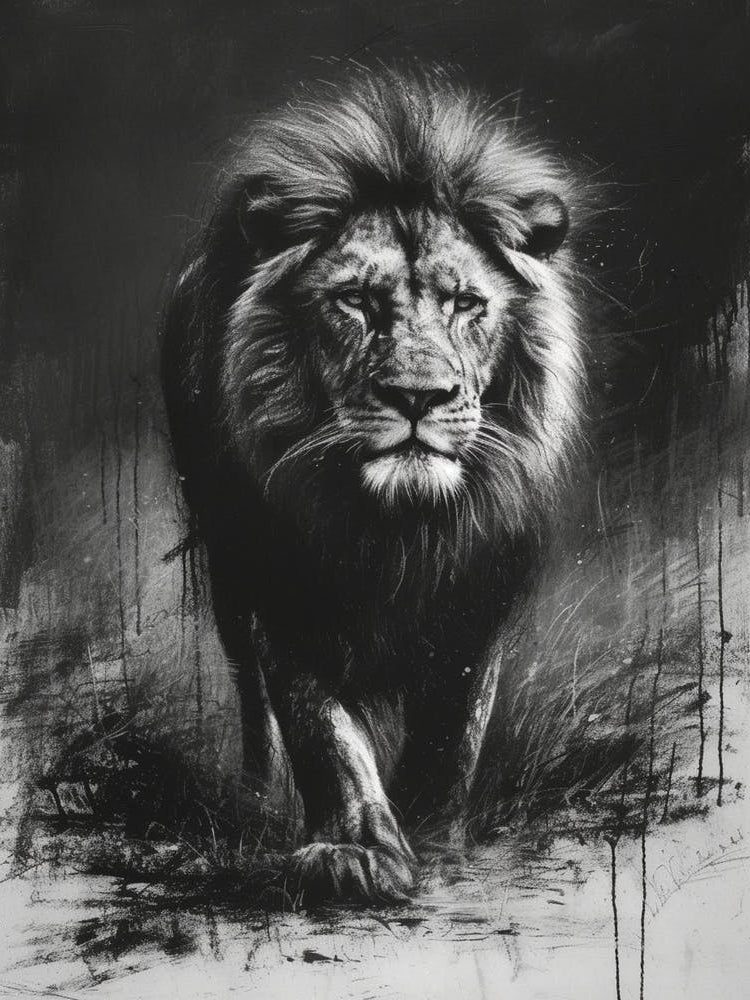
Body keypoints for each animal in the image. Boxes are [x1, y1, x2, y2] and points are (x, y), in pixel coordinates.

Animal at [161, 66, 587, 902]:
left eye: (466, 304)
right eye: (355, 300)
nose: (417, 397)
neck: (397, 526)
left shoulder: (477, 595)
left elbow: (453, 733)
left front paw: (437, 845)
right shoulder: (280, 589)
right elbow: (323, 731)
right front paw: (357, 851)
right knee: (256, 709)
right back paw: (259, 801)